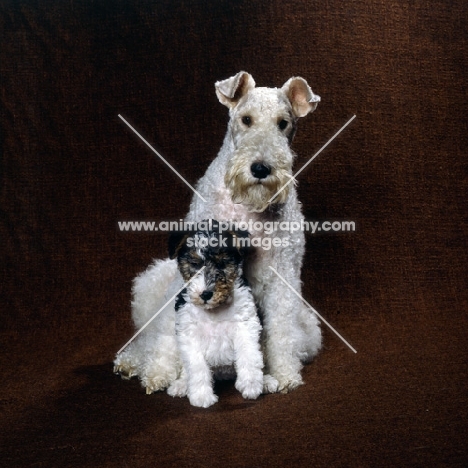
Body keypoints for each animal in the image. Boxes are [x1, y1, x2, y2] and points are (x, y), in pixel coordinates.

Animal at [166, 221, 266, 408]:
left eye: (222, 263)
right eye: (195, 263)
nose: (206, 294)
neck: (214, 311)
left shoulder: (245, 324)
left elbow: (249, 354)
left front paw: (251, 384)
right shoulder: (189, 333)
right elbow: (197, 366)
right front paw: (201, 396)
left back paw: (268, 381)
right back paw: (181, 385)